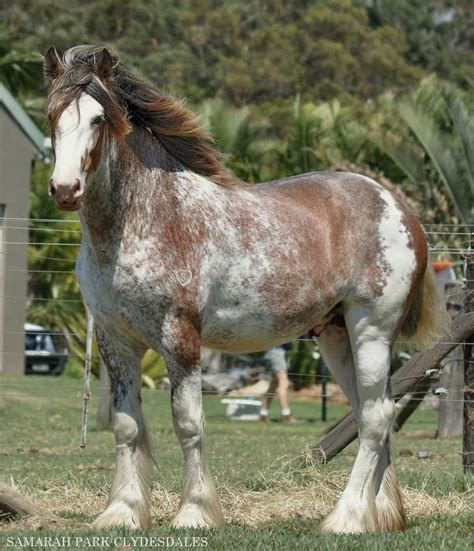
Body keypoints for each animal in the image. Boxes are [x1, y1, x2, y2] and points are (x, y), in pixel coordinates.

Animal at [42, 47, 446, 536]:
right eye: (51, 114)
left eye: (98, 118)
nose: (65, 189)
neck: (147, 219)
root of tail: (398, 207)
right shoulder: (114, 340)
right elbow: (127, 427)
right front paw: (123, 512)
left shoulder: (181, 338)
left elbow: (188, 423)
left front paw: (194, 513)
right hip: (336, 337)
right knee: (377, 411)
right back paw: (381, 516)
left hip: (371, 330)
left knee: (374, 418)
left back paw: (345, 518)